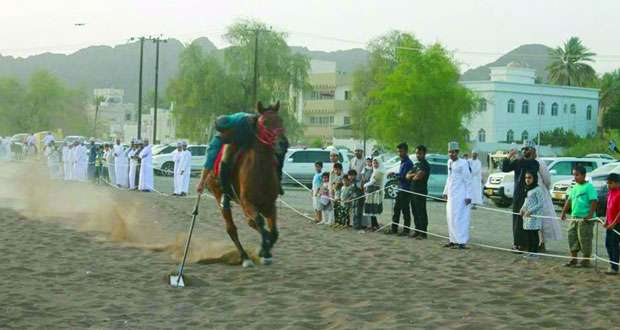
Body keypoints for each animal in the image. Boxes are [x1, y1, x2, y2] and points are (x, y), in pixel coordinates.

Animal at [203, 102, 284, 266]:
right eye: (265, 123)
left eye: (281, 121)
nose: (283, 143)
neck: (260, 173)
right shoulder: (247, 203)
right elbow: (260, 223)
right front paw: (263, 250)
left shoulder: (270, 205)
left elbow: (273, 232)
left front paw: (266, 251)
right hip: (220, 195)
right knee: (232, 228)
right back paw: (245, 257)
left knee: (250, 224)